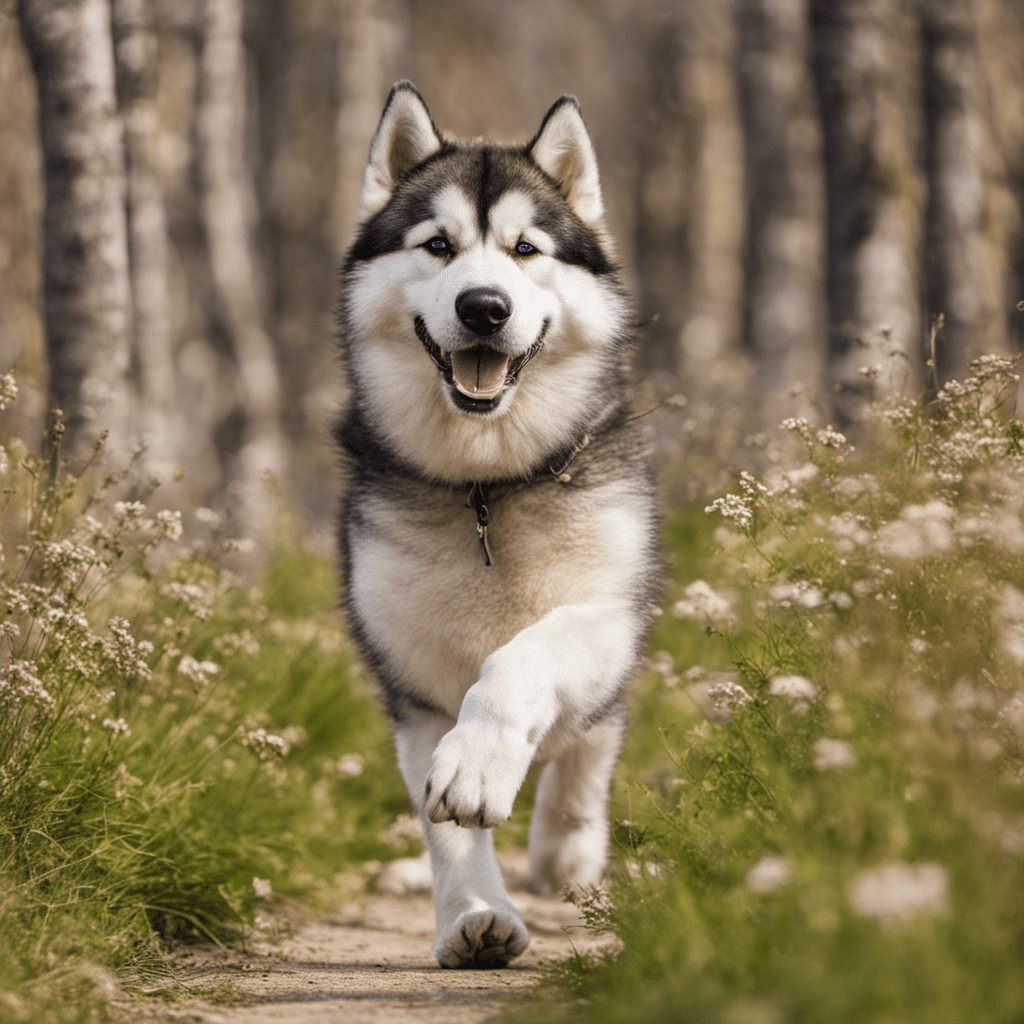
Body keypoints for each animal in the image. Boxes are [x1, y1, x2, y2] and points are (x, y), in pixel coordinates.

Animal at [331, 81, 659, 966]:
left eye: (526, 249)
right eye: (438, 246)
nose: (484, 307)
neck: (487, 487)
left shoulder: (607, 613)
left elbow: (521, 661)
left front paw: (481, 765)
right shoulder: (412, 680)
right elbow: (442, 823)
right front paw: (474, 911)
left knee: (590, 739)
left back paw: (566, 847)